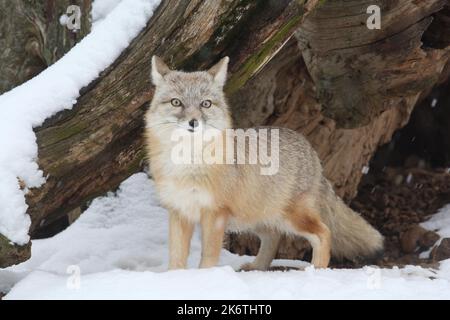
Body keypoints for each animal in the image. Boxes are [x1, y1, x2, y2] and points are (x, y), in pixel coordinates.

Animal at [144, 55, 384, 270]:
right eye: (176, 102)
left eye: (206, 104)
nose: (193, 122)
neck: (187, 166)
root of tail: (310, 149)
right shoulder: (179, 211)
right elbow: (176, 258)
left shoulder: (215, 214)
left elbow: (208, 258)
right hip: (256, 218)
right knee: (274, 237)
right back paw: (258, 268)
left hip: (291, 217)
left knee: (323, 233)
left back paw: (315, 272)